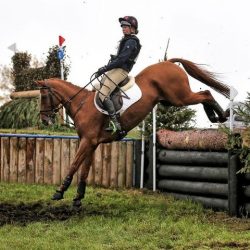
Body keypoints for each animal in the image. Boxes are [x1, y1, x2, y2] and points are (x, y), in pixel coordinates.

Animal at [36, 58, 229, 207]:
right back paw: (217, 116)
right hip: (170, 100)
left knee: (206, 93)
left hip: (179, 97)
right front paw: (78, 198)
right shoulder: (91, 143)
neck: (81, 104)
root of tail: (168, 62)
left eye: (43, 96)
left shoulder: (87, 141)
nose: (44, 120)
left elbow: (74, 164)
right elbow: (84, 169)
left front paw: (59, 192)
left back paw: (221, 115)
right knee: (204, 96)